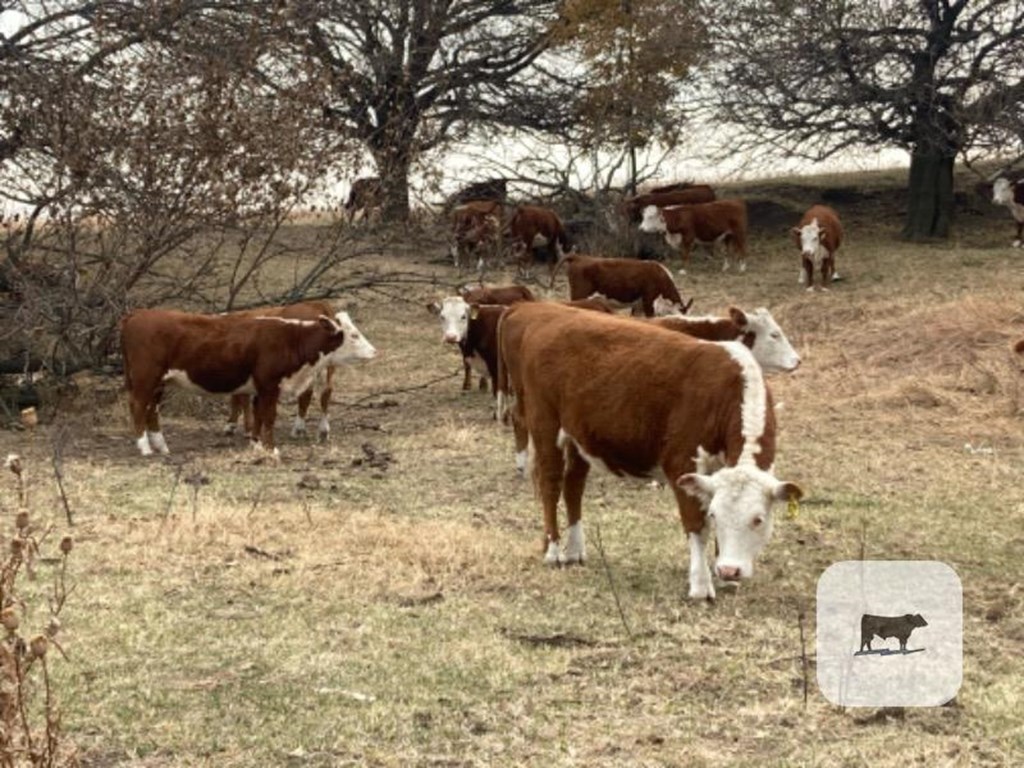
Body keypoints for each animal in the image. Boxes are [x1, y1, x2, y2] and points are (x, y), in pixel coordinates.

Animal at [121, 311, 360, 460]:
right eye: (354, 335)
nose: (370, 351)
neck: (291, 338)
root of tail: (138, 314)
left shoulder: (259, 389)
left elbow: (259, 415)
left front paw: (256, 444)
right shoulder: (270, 385)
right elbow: (269, 417)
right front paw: (271, 449)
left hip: (158, 383)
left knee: (152, 410)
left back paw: (161, 446)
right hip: (145, 378)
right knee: (138, 406)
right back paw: (144, 447)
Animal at [224, 303, 380, 444]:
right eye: (354, 335)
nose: (374, 351)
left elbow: (240, 398)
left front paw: (237, 426)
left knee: (307, 394)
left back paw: (299, 428)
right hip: (328, 367)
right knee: (325, 392)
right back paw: (322, 430)